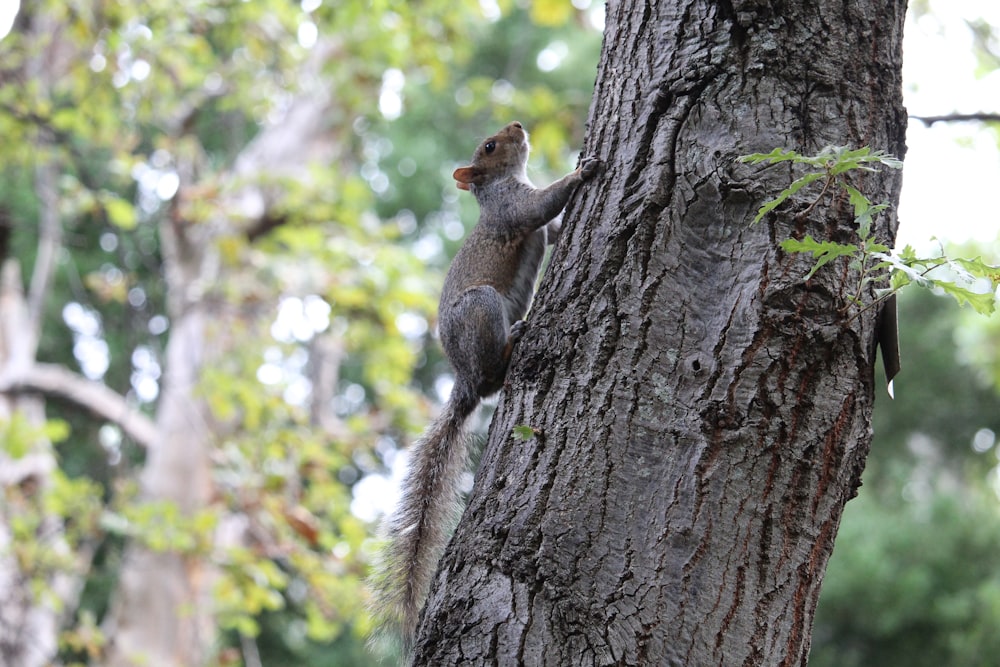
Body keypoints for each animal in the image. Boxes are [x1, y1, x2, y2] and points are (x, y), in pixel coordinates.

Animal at [370, 121, 596, 652]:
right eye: (490, 146)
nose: (517, 125)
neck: (500, 183)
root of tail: (465, 380)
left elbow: (551, 229)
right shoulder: (511, 208)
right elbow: (540, 207)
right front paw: (582, 172)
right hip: (484, 308)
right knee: (495, 369)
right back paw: (514, 341)